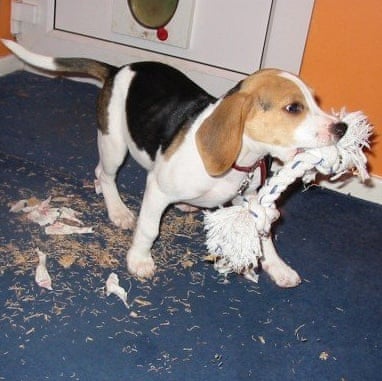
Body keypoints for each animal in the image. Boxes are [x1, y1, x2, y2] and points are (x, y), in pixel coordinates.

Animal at [2, 40, 348, 286]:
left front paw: (278, 268)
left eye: (315, 100)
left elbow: (266, 238)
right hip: (114, 145)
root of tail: (118, 69)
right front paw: (139, 259)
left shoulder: (253, 200)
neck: (240, 161)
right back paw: (118, 211)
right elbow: (149, 228)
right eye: (293, 108)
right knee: (104, 174)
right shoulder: (158, 189)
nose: (341, 128)